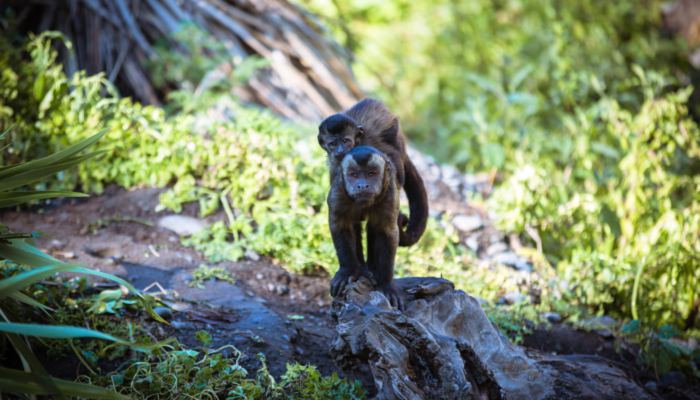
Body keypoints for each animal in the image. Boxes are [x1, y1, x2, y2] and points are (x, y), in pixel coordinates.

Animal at [318, 97, 426, 247]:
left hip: (396, 133)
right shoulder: (335, 166)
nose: (340, 150)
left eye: (346, 141)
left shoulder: (370, 144)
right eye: (333, 144)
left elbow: (392, 161)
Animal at [330, 145, 404, 308]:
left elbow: (387, 232)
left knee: (374, 227)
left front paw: (386, 284)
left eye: (371, 174)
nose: (362, 185)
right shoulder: (339, 190)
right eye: (354, 174)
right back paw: (361, 270)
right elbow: (340, 225)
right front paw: (347, 271)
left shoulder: (389, 191)